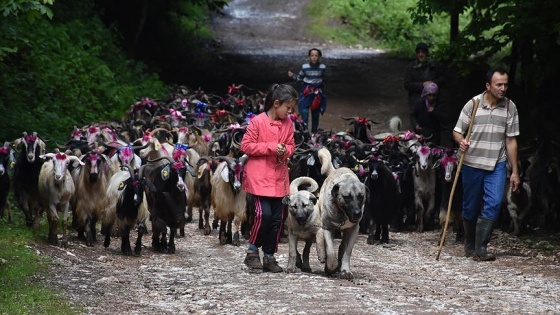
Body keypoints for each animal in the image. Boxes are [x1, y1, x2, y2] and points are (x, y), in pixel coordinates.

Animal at [318, 147, 366, 280]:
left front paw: (345, 270)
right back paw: (322, 255)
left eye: (361, 196)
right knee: (319, 234)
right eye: (347, 197)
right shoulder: (328, 228)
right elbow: (330, 250)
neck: (342, 213)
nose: (357, 213)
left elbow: (346, 252)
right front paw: (331, 266)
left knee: (342, 247)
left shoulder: (353, 230)